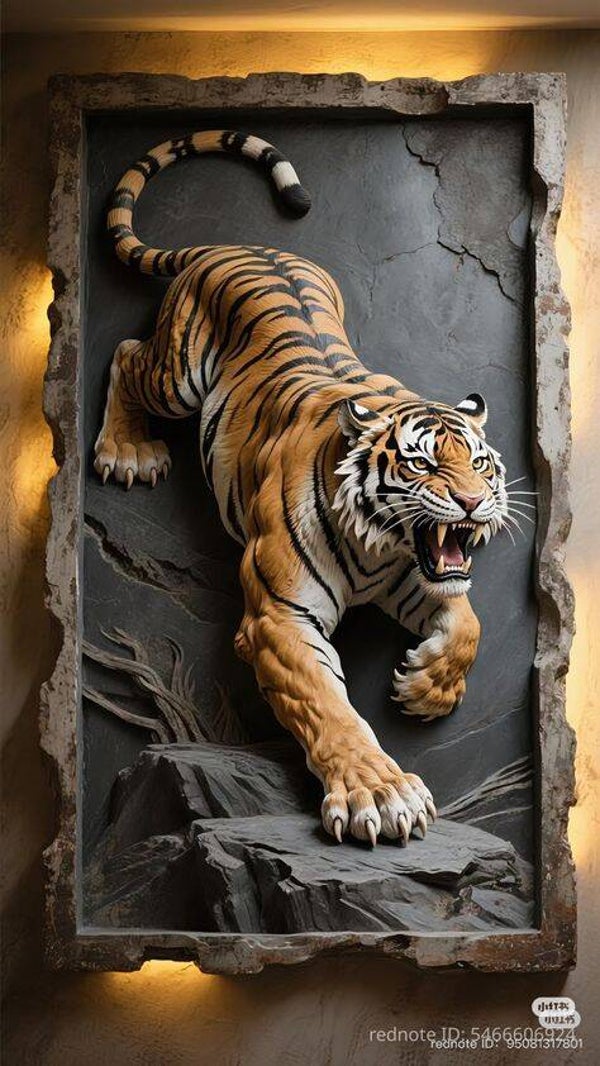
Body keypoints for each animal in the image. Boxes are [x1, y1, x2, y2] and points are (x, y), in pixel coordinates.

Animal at [95, 129, 511, 846]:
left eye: (481, 465)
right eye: (424, 465)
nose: (474, 503)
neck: (382, 547)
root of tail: (233, 244)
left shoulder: (416, 578)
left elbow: (470, 622)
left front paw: (426, 686)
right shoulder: (279, 617)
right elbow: (329, 707)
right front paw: (382, 795)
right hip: (176, 376)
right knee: (125, 352)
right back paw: (125, 451)